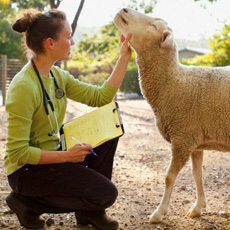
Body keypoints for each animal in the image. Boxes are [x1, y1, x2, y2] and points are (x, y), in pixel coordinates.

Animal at [113, 8, 230, 224]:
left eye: (153, 26)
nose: (123, 10)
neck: (173, 82)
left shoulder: (182, 138)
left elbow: (169, 177)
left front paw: (158, 213)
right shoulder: (195, 141)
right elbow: (197, 174)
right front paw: (198, 207)